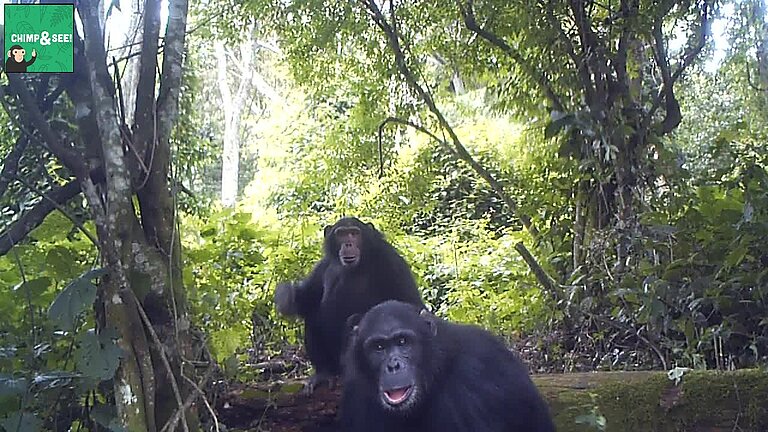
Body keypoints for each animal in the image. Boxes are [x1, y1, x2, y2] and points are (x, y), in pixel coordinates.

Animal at [272, 218, 424, 394]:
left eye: (354, 233)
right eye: (341, 234)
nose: (348, 243)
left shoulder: (392, 262)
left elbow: (410, 304)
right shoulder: (322, 266)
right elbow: (308, 298)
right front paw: (286, 295)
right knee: (312, 315)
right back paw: (324, 373)